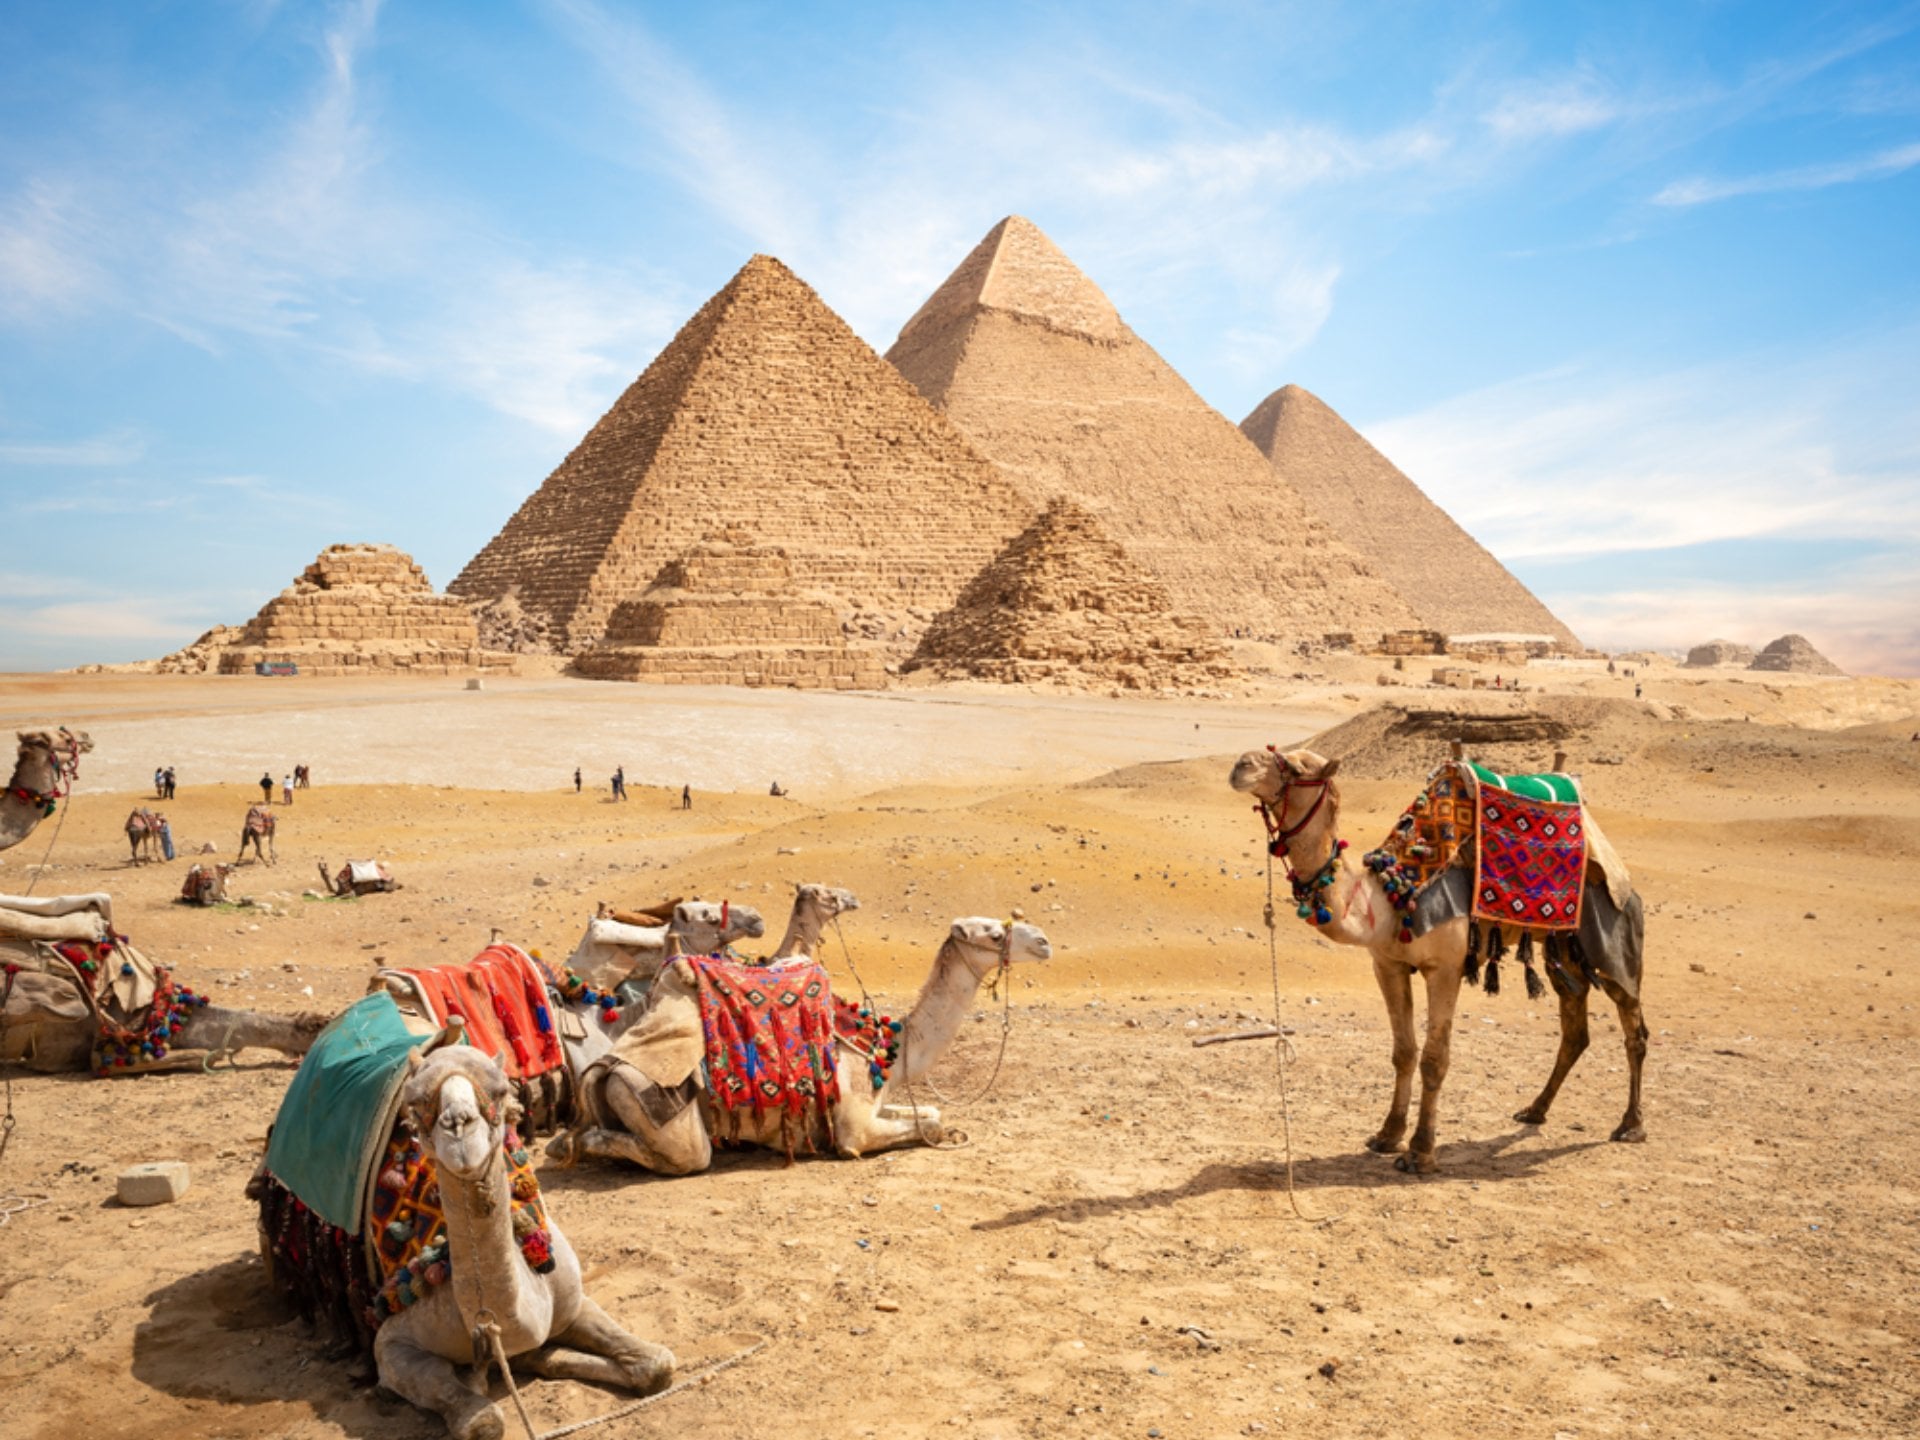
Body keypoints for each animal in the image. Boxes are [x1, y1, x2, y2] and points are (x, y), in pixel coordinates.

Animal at [558, 916, 1051, 1174]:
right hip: (654, 1104)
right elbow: (923, 1125)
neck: (891, 1049)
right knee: (679, 1153)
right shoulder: (854, 1126)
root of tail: (605, 1067)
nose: (1044, 941)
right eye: (993, 933)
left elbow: (931, 1111)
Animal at [1229, 747, 1648, 1173]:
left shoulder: (1445, 968)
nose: (1241, 764)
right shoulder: (1388, 964)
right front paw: (1387, 1135)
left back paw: (1630, 1125)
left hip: (1611, 934)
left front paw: (1420, 1152)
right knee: (1575, 1027)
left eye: (1297, 768)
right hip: (1563, 950)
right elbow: (1403, 1052)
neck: (1391, 897)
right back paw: (1534, 1110)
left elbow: (1434, 1058)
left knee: (1634, 1026)